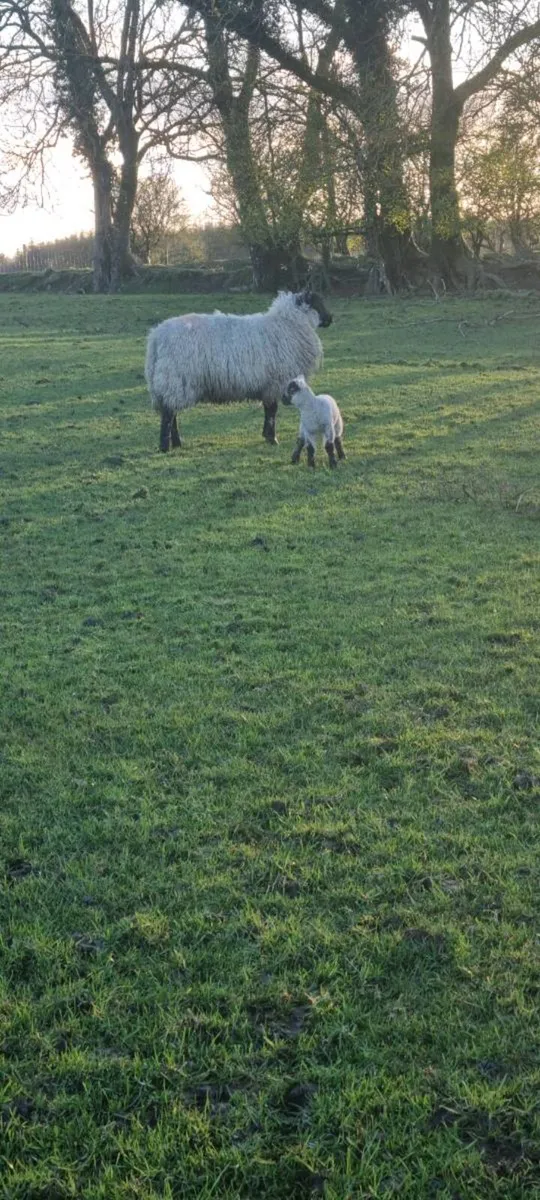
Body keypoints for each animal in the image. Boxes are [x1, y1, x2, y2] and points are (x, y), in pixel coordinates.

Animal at [145, 289, 333, 452]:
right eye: (318, 302)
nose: (330, 319)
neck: (290, 325)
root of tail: (156, 336)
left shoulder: (268, 385)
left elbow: (268, 409)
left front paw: (266, 435)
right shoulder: (275, 382)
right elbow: (272, 410)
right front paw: (272, 438)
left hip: (171, 384)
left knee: (172, 413)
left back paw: (177, 443)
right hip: (175, 380)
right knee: (168, 415)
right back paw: (165, 447)